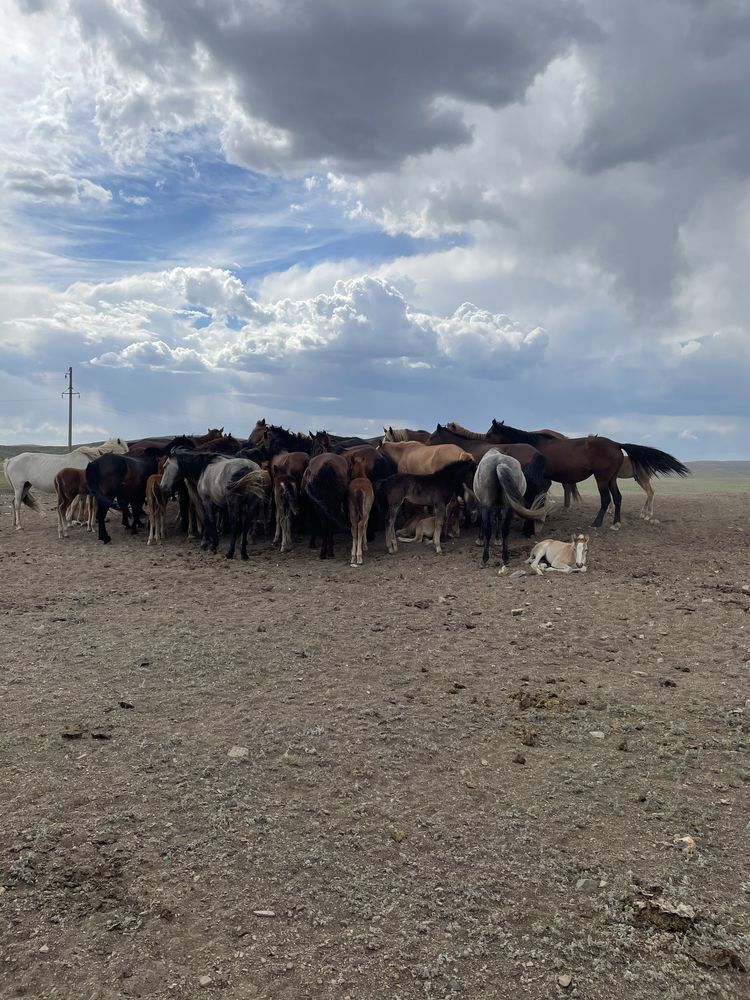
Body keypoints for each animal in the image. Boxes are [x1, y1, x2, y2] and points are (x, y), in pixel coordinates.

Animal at [488, 418, 688, 532]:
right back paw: (616, 524)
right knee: (617, 498)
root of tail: (617, 445)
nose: (483, 441)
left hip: (602, 479)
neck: (533, 446)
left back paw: (596, 523)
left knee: (606, 500)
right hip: (611, 479)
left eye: (490, 433)